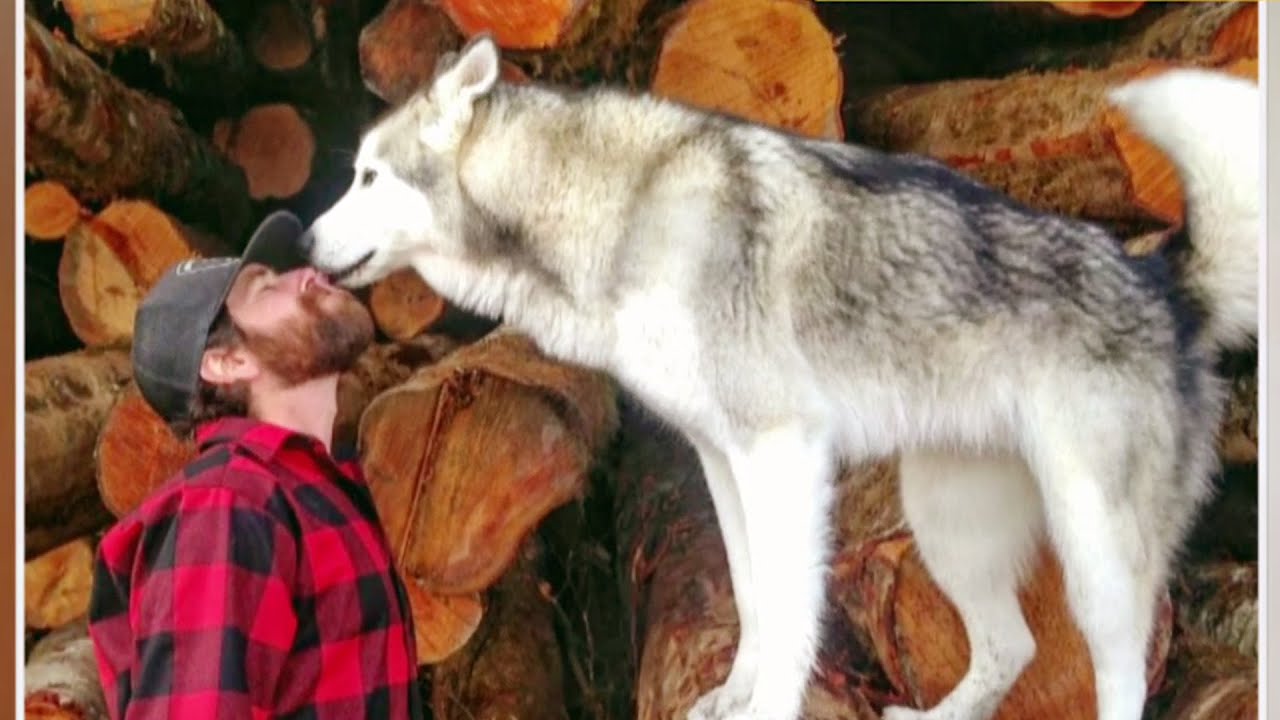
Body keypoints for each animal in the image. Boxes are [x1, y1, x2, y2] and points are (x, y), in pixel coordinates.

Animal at [301, 34, 1259, 720]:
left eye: (369, 176)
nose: (303, 243)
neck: (623, 212)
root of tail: (1165, 280)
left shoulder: (783, 455)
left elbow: (793, 615)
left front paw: (765, 709)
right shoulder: (724, 460)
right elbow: (751, 597)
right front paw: (729, 696)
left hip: (1093, 556)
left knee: (1119, 671)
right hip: (947, 525)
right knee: (1013, 649)